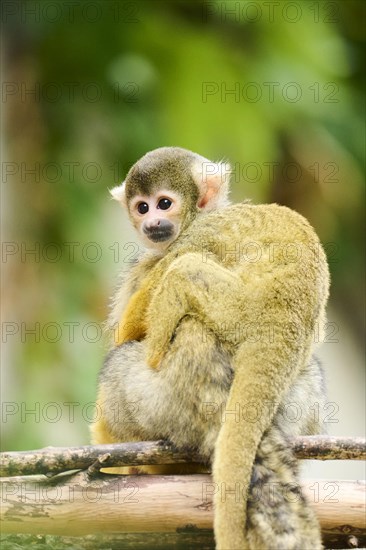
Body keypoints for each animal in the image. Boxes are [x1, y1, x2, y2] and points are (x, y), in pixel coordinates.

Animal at [91, 148, 328, 550]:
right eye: (141, 207)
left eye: (164, 204)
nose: (151, 222)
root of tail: (279, 326)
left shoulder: (194, 236)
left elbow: (130, 323)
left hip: (237, 309)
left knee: (180, 275)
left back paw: (153, 353)